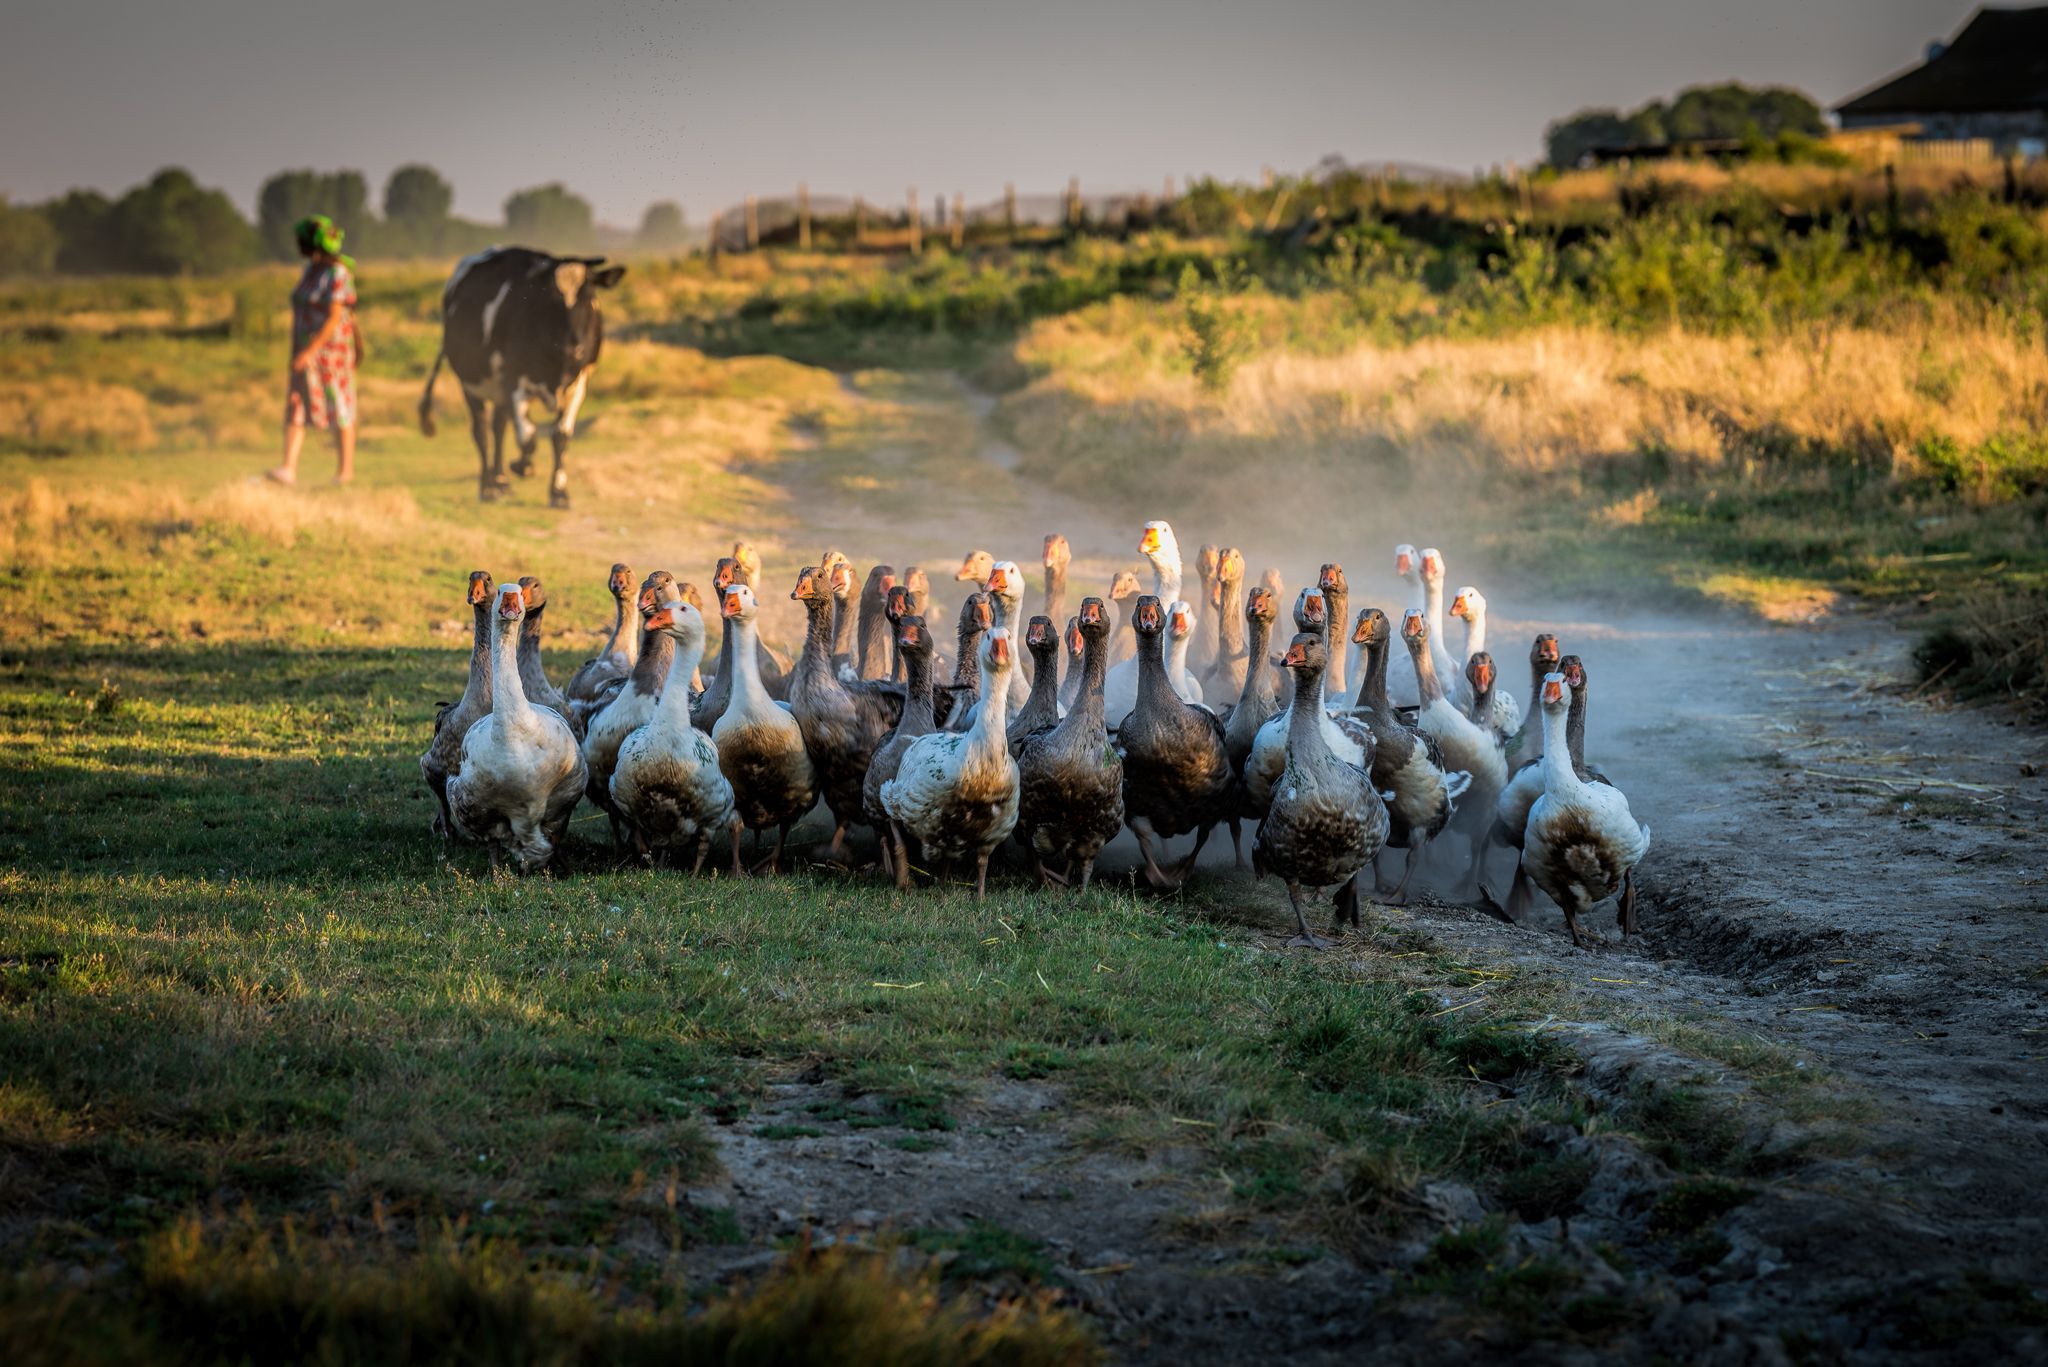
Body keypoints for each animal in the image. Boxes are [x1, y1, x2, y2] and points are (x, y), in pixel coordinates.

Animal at [415, 246, 622, 508]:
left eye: (589, 296)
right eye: (552, 298)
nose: (574, 347)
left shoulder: (579, 382)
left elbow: (560, 435)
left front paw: (559, 493)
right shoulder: (513, 379)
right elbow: (528, 436)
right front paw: (524, 466)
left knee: (499, 426)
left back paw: (501, 480)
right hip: (470, 383)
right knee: (482, 431)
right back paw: (488, 487)